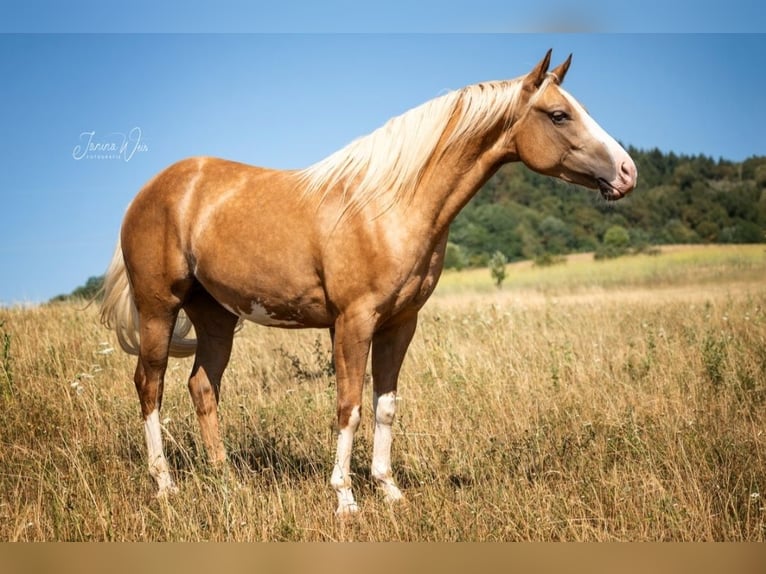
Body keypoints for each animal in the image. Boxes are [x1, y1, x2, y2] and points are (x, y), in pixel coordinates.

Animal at [100, 50, 637, 515]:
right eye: (559, 115)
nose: (627, 171)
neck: (388, 205)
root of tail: (151, 191)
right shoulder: (353, 322)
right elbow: (350, 406)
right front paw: (345, 498)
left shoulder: (400, 324)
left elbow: (385, 407)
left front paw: (389, 489)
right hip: (159, 308)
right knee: (150, 386)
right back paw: (165, 484)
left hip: (215, 318)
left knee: (202, 387)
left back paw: (226, 480)